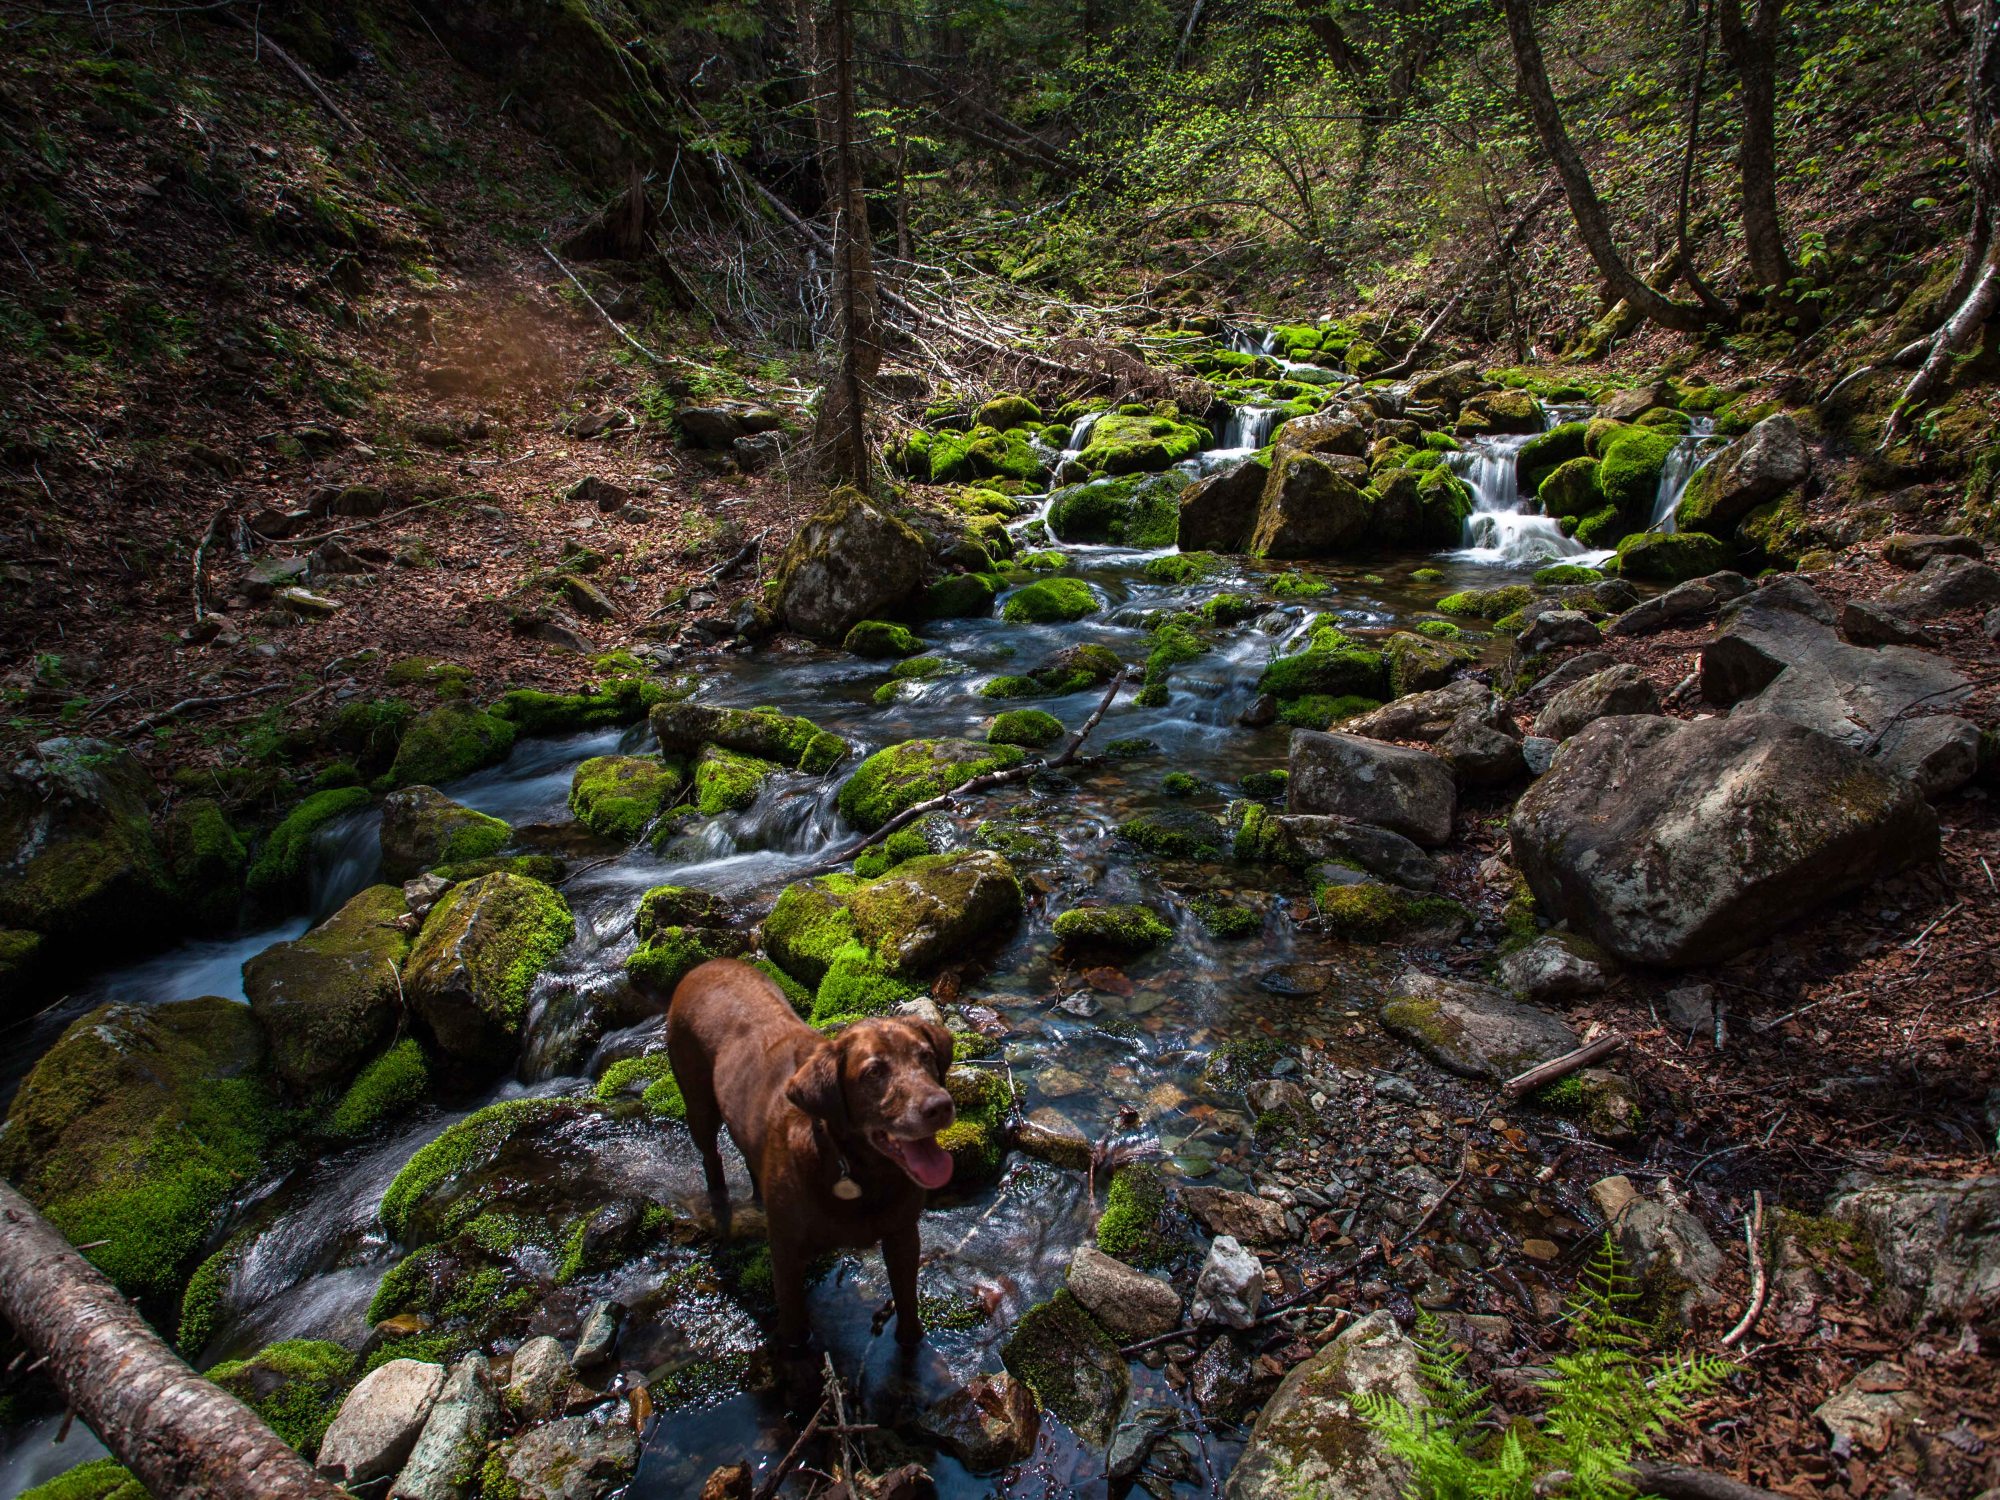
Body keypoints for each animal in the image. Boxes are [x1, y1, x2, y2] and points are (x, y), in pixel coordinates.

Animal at [666, 957, 957, 1351]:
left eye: (925, 1056)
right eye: (873, 1072)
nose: (940, 1106)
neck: (857, 1172)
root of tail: (705, 965)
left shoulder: (903, 1235)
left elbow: (908, 1308)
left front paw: (912, 1345)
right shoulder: (786, 1254)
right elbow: (792, 1323)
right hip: (697, 1102)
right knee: (711, 1158)